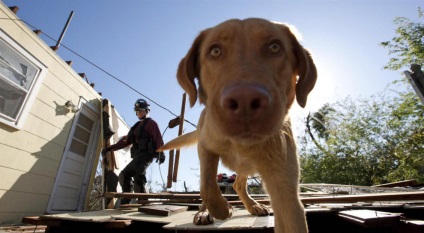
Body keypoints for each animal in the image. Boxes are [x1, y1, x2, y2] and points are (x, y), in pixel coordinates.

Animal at [158, 17, 314, 233]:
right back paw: (205, 212)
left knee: (239, 183)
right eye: (215, 51)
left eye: (275, 47)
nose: (245, 101)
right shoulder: (206, 146)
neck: (241, 144)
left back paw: (253, 205)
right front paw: (221, 209)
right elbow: (207, 185)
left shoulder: (285, 189)